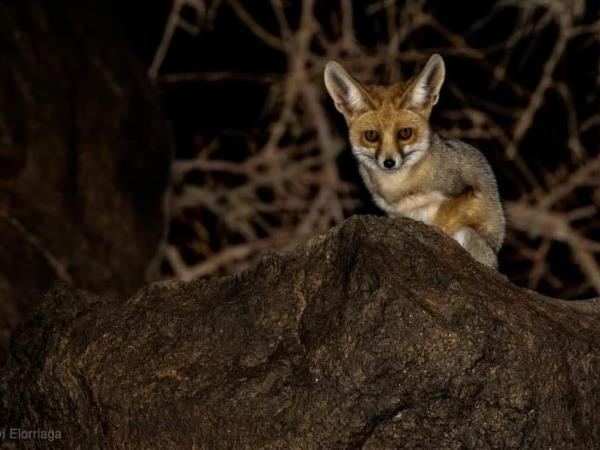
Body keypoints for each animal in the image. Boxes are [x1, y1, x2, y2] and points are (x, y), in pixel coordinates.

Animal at [326, 54, 504, 268]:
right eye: (371, 136)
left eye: (405, 133)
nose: (389, 162)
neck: (397, 189)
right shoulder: (395, 214)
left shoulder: (464, 192)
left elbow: (442, 224)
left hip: (467, 234)